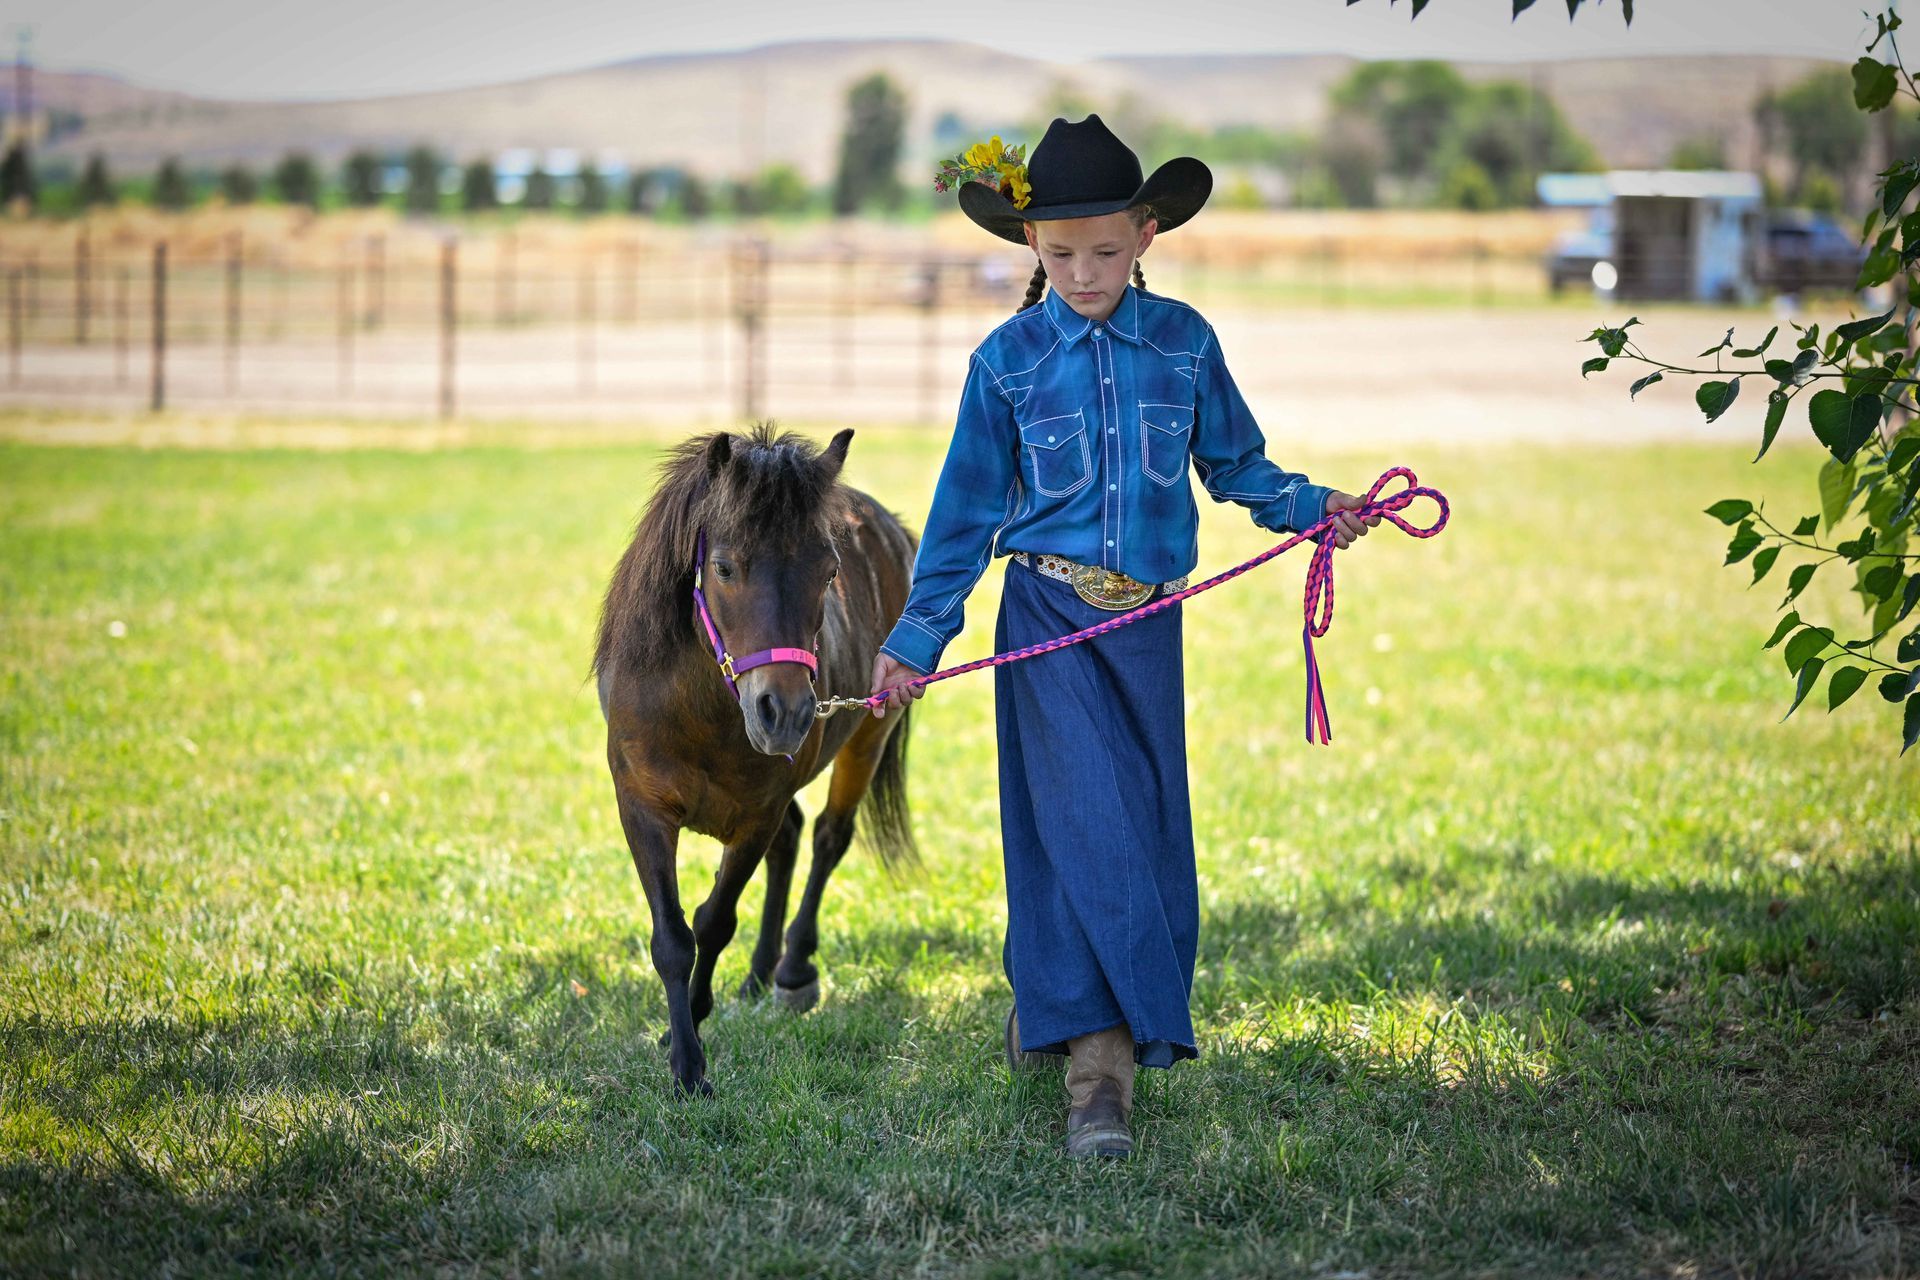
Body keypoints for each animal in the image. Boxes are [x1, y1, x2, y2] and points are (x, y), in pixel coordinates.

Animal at [592, 423, 919, 1096]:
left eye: (829, 570)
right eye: (723, 566)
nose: (785, 711)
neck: (698, 712)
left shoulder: (753, 817)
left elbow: (714, 921)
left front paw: (690, 1029)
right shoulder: (641, 807)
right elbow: (673, 938)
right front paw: (684, 1057)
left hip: (868, 738)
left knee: (827, 837)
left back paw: (792, 969)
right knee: (795, 840)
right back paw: (761, 973)